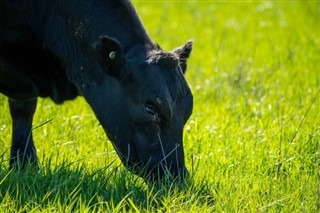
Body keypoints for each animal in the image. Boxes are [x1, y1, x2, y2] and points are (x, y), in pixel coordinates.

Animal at [0, 0, 194, 181]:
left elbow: (23, 111)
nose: (176, 175)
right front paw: (23, 165)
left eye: (187, 112)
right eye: (150, 109)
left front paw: (24, 166)